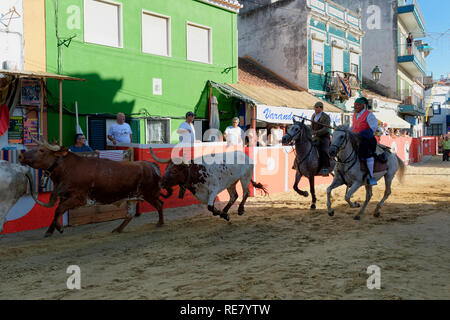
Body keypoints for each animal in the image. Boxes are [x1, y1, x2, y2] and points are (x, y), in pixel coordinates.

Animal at [19, 141, 163, 236]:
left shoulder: (78, 199)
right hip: (133, 197)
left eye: (41, 150)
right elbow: (57, 211)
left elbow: (59, 210)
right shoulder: (64, 196)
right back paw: (118, 229)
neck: (67, 168)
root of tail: (150, 165)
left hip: (149, 194)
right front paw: (49, 231)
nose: (21, 156)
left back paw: (160, 223)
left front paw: (59, 228)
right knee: (130, 214)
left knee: (159, 205)